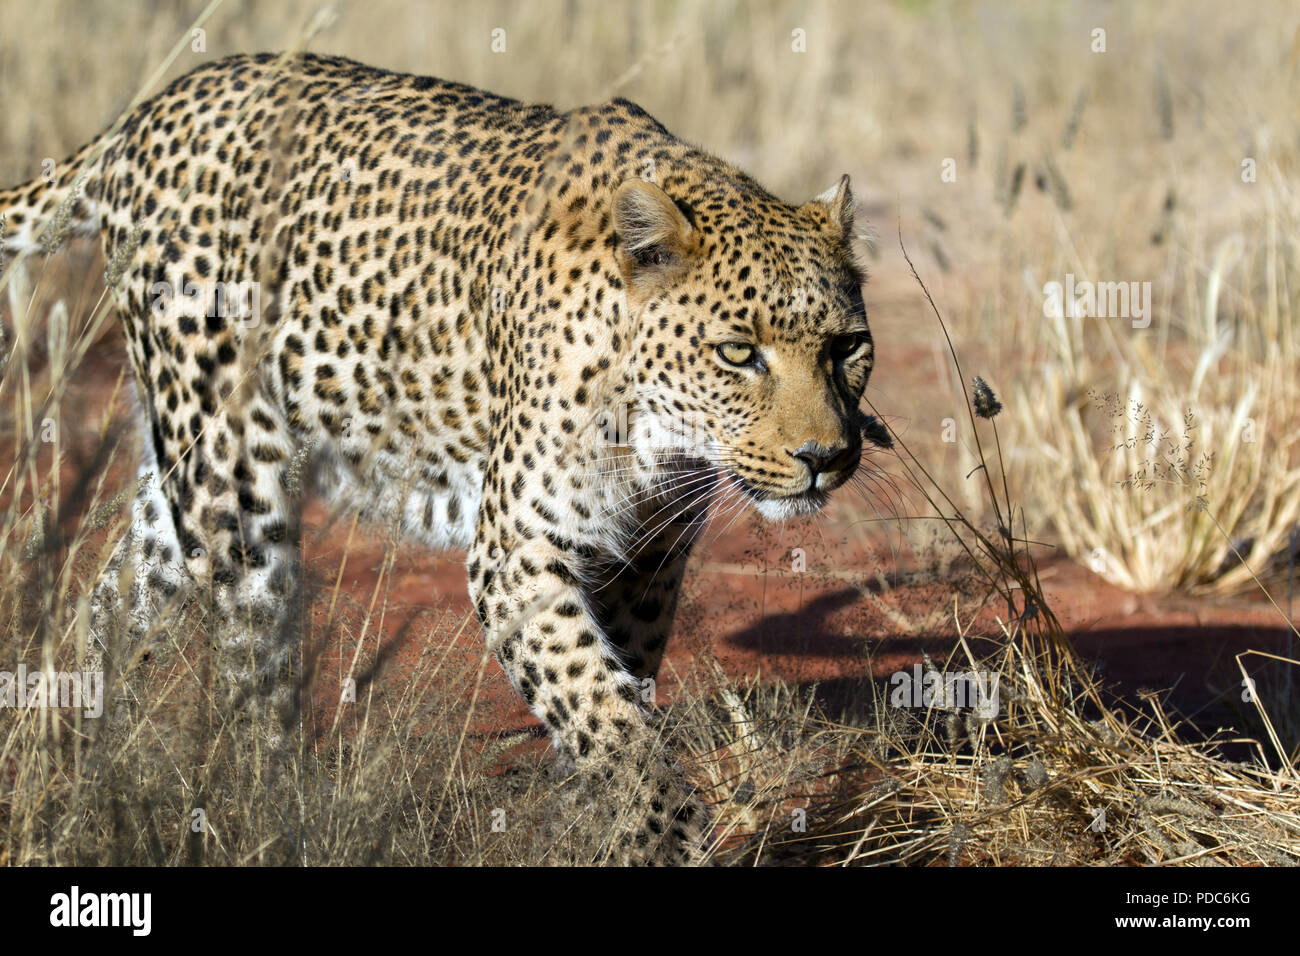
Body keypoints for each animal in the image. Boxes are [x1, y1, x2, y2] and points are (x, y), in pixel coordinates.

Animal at [2, 50, 873, 858]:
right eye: (738, 353)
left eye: (847, 348)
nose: (824, 456)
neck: (658, 431)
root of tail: (150, 109)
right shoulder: (518, 547)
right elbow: (597, 699)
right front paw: (659, 831)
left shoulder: (646, 556)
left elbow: (617, 687)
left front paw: (589, 814)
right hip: (236, 479)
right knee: (252, 672)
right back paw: (272, 806)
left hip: (185, 477)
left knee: (108, 603)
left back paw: (75, 762)